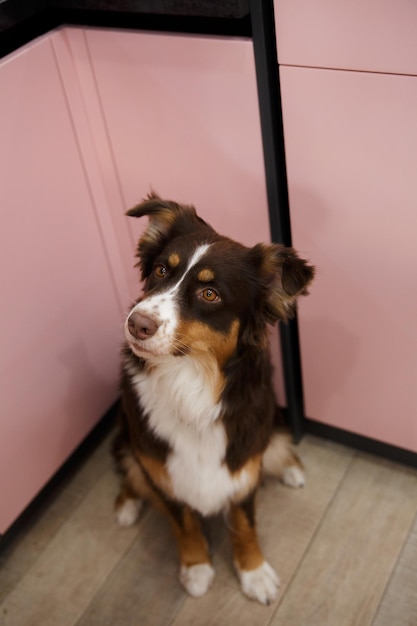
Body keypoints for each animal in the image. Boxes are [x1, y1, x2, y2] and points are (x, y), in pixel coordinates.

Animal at [112, 193, 314, 604]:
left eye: (210, 293)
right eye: (161, 270)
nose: (136, 323)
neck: (189, 381)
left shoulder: (241, 464)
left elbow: (244, 523)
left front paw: (254, 573)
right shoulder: (162, 469)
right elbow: (184, 523)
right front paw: (196, 567)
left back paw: (291, 468)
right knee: (128, 466)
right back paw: (126, 504)